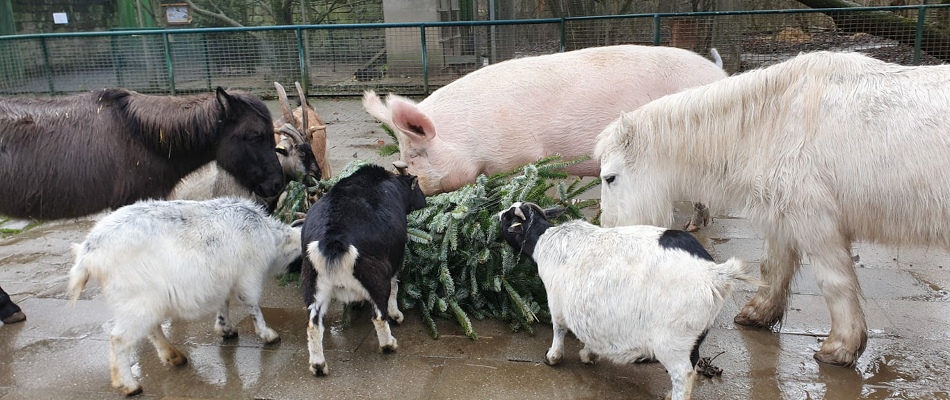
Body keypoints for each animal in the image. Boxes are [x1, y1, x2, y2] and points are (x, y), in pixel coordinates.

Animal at [67, 197, 302, 396]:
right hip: (135, 299)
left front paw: (226, 329)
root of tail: (89, 251)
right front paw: (268, 335)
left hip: (146, 301)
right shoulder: (249, 276)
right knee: (120, 339)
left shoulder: (224, 279)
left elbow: (223, 302)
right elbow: (253, 304)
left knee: (151, 328)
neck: (272, 237)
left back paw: (174, 356)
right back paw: (130, 385)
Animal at [302, 161, 428, 376]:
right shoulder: (395, 258)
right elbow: (395, 285)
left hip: (314, 283)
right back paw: (389, 344)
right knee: (378, 314)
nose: (426, 203)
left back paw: (318, 365)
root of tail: (332, 239)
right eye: (417, 186)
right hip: (375, 276)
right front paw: (396, 315)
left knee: (313, 324)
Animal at [364, 45, 728, 195]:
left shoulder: (519, 155)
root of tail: (719, 73)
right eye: (403, 153)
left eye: (416, 153)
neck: (469, 135)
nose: (399, 170)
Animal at [498, 202, 760, 400]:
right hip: (693, 337)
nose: (497, 214)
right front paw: (589, 354)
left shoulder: (557, 300)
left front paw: (553, 357)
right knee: (693, 362)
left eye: (508, 219)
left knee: (683, 374)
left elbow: (559, 328)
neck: (546, 239)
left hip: (672, 339)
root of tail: (714, 274)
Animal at [600, 50, 950, 368]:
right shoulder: (782, 216)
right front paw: (758, 314)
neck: (774, 120)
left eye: (610, 177)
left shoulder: (816, 221)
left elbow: (834, 282)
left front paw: (840, 348)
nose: (609, 233)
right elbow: (773, 267)